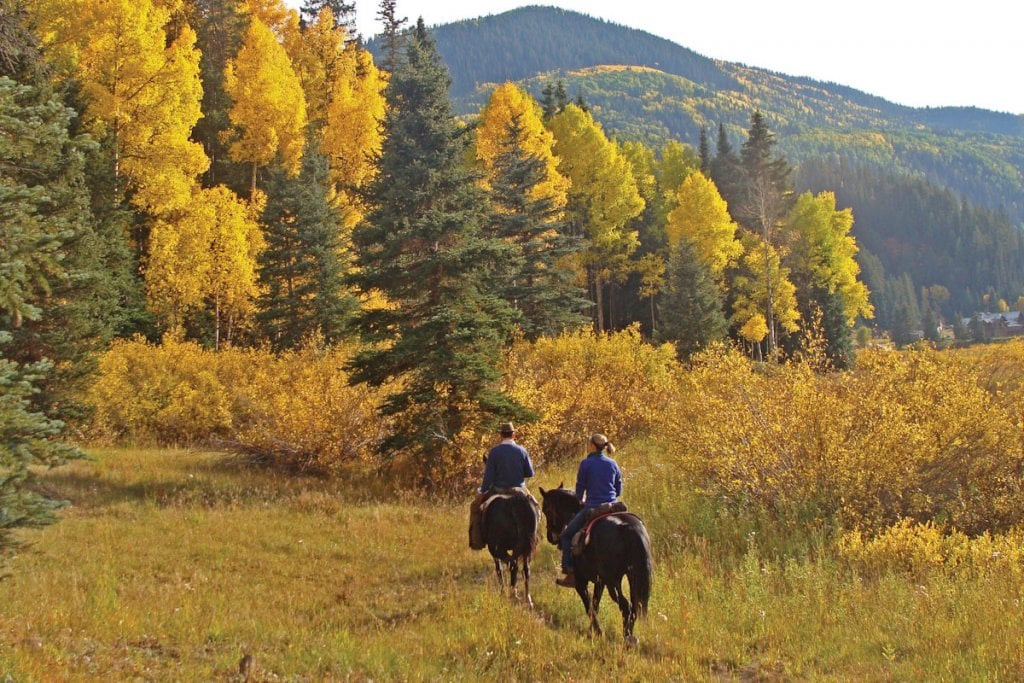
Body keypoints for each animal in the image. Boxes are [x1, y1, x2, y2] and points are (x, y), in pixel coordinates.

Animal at [540, 483, 651, 643]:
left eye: (546, 509)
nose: (551, 537)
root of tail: (629, 528)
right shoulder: (600, 581)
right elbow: (595, 604)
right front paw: (593, 630)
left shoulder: (580, 581)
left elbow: (589, 606)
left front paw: (597, 631)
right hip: (632, 577)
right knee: (635, 607)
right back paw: (631, 638)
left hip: (613, 581)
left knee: (626, 606)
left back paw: (627, 638)